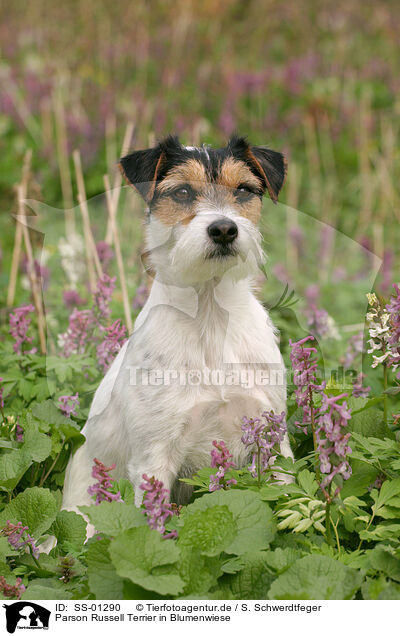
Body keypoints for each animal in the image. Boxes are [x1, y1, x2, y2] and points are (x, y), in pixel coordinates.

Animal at [61, 133, 294, 516]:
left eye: (243, 190)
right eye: (183, 192)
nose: (224, 229)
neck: (210, 314)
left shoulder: (273, 434)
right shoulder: (154, 456)